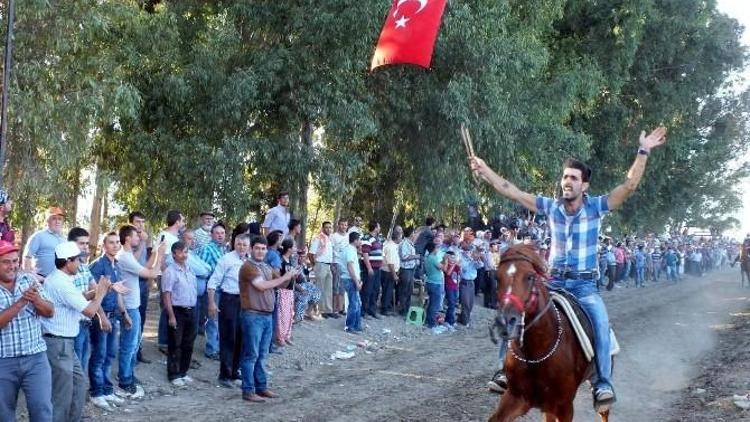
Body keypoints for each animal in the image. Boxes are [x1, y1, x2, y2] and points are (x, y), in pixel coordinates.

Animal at [494, 244, 612, 422]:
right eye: (497, 278)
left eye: (530, 277)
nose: (506, 321)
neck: (535, 355)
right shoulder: (515, 398)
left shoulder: (565, 406)